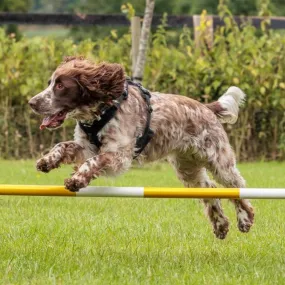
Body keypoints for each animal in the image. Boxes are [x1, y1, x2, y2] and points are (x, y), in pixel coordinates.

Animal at [28, 55, 254, 237]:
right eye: (50, 83)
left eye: (60, 86)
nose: (32, 102)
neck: (101, 112)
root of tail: (206, 108)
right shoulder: (86, 147)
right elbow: (63, 146)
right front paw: (47, 160)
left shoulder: (118, 154)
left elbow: (93, 162)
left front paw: (76, 180)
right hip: (187, 168)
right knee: (210, 189)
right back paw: (220, 225)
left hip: (219, 161)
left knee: (237, 187)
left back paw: (245, 218)